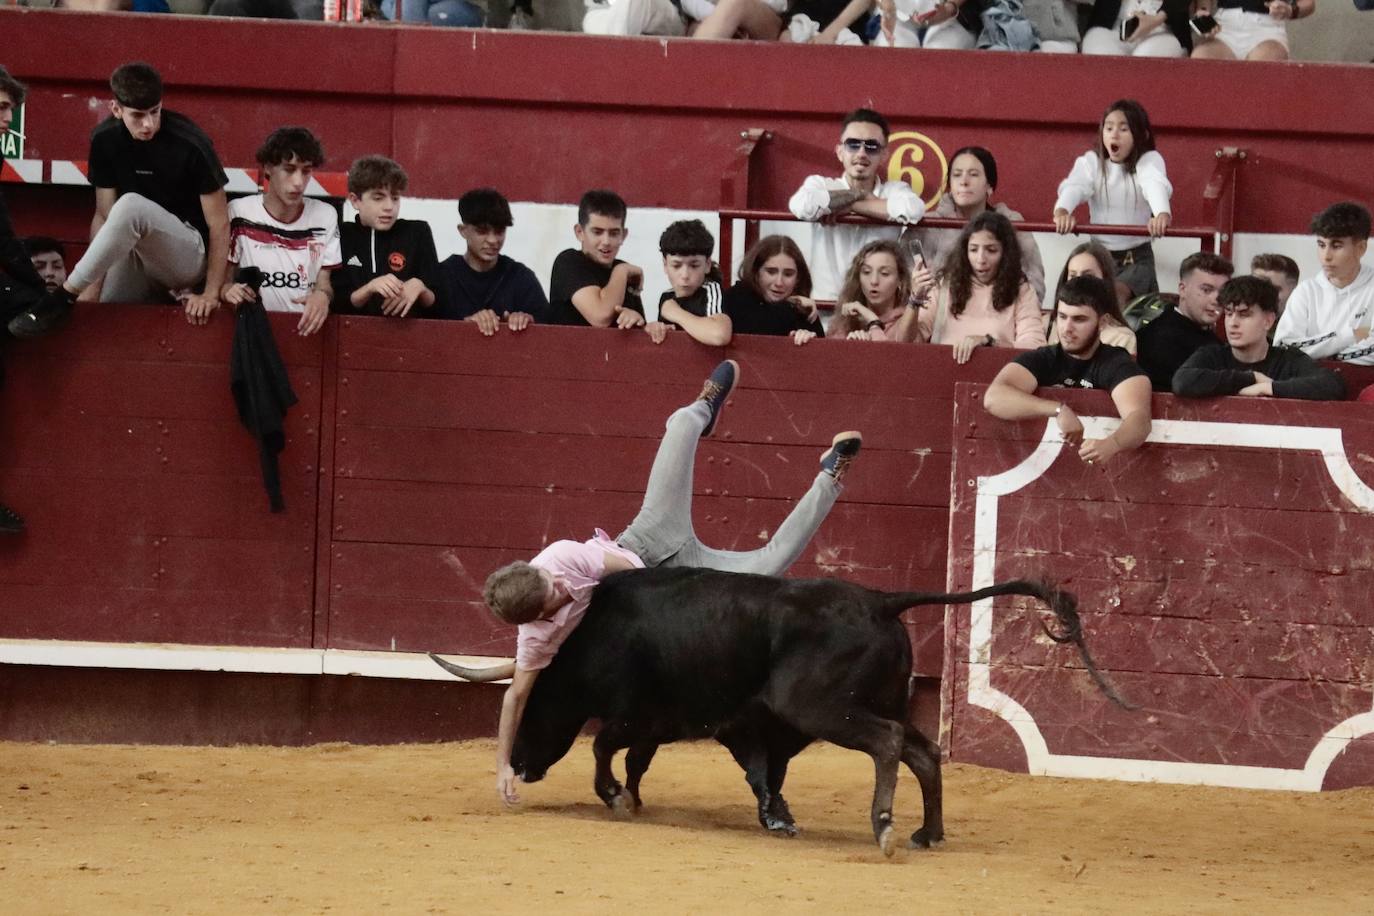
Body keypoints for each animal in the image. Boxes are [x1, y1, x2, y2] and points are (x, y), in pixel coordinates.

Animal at [434, 568, 1132, 856]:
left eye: (533, 705)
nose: (519, 766)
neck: (591, 630)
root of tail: (880, 600)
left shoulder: (644, 713)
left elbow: (609, 748)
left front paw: (615, 799)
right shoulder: (713, 725)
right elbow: (738, 770)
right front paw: (776, 818)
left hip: (824, 708)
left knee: (888, 745)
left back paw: (884, 826)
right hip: (866, 703)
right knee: (924, 751)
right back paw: (926, 833)